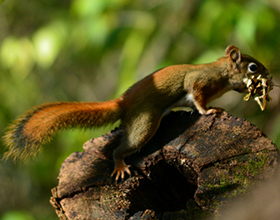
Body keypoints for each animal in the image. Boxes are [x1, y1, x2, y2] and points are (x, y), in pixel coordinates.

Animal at [1, 45, 270, 180]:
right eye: (253, 67)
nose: (268, 76)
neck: (222, 72)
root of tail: (124, 102)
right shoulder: (200, 82)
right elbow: (198, 99)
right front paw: (210, 110)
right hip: (145, 123)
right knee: (122, 148)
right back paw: (120, 165)